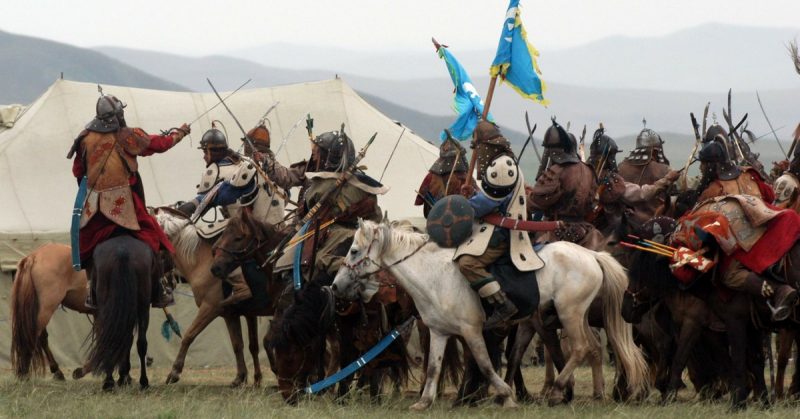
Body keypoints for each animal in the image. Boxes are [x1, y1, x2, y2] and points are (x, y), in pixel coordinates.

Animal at [10, 243, 91, 380]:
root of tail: (34, 256)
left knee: (41, 337)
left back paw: (56, 370)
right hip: (46, 308)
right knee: (33, 335)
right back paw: (24, 373)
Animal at [155, 207, 290, 388]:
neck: (200, 262)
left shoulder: (210, 308)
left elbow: (189, 335)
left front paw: (175, 372)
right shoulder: (233, 315)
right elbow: (240, 345)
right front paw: (243, 377)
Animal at [332, 220, 648, 410]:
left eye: (354, 250)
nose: (336, 286)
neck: (434, 276)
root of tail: (592, 255)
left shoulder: (471, 331)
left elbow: (484, 364)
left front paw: (505, 396)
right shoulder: (439, 332)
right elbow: (433, 367)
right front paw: (424, 402)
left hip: (568, 314)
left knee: (581, 348)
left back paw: (557, 391)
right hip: (574, 315)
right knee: (592, 347)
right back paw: (592, 393)